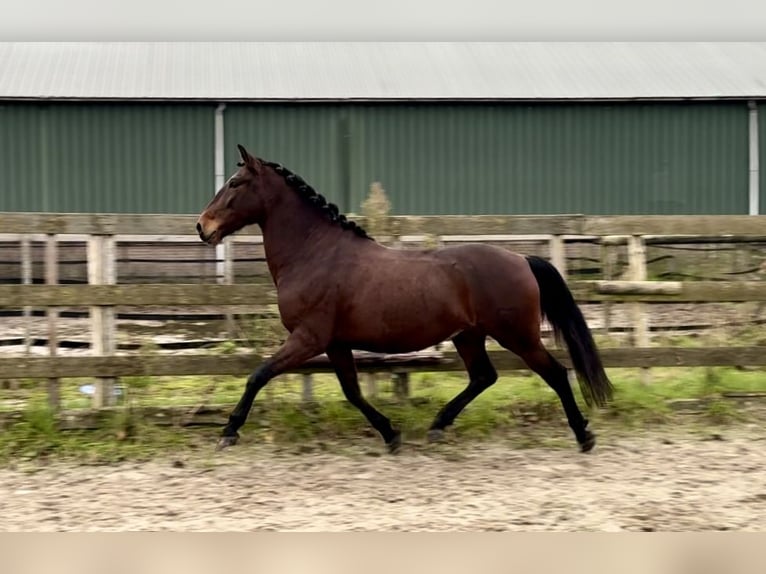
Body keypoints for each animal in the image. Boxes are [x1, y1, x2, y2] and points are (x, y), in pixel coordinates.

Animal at [198, 146, 616, 456]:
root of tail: (521, 258)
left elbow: (258, 375)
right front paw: (391, 434)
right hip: (469, 336)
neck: (315, 253)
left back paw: (583, 435)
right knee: (484, 376)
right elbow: (352, 392)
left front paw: (229, 431)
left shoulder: (308, 338)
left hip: (517, 335)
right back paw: (438, 426)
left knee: (555, 373)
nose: (203, 227)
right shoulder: (335, 344)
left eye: (235, 183)